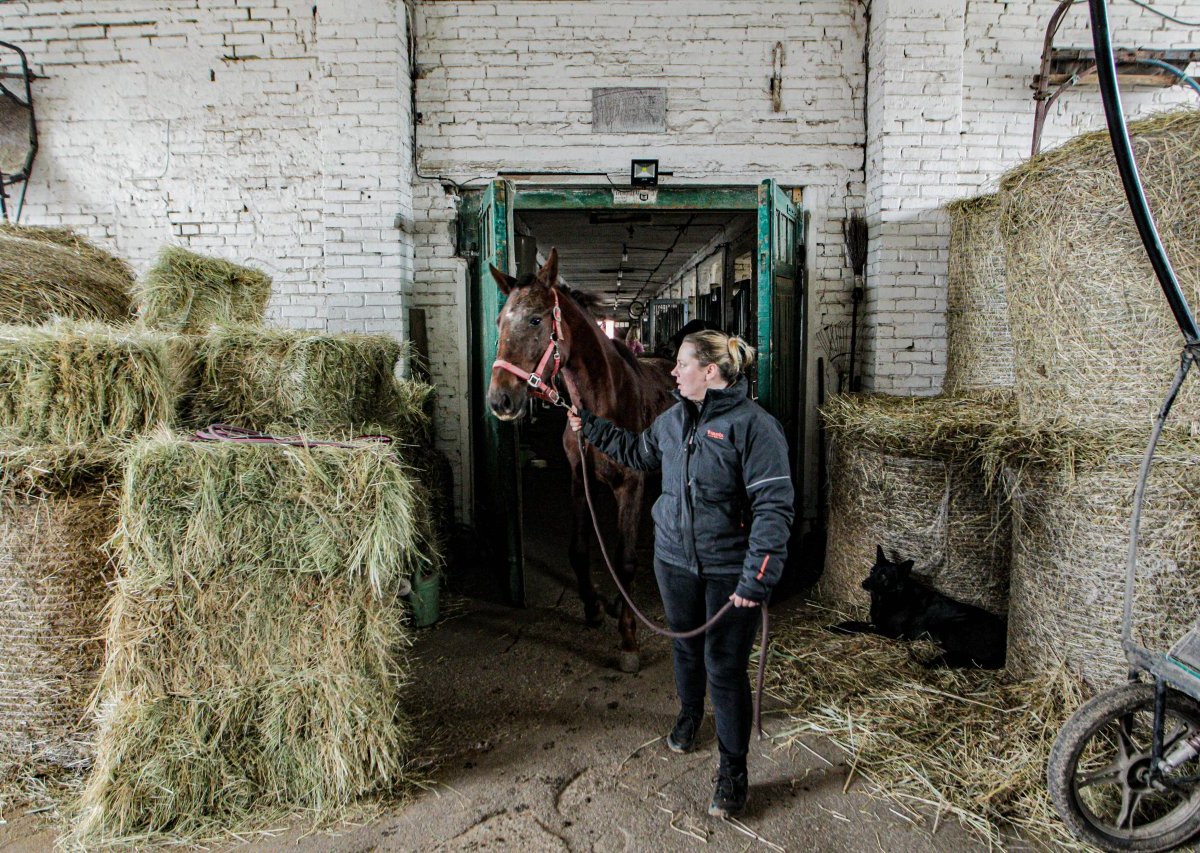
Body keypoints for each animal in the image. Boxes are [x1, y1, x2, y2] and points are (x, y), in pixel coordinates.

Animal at [487, 248, 676, 671]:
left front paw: (628, 639)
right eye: (498, 321)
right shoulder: (578, 481)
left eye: (536, 319)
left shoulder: (631, 485)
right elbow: (578, 551)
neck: (603, 403)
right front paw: (593, 607)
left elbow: (624, 560)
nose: (500, 400)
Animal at [830, 547, 1008, 667]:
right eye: (872, 570)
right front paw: (840, 625)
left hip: (952, 627)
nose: (863, 583)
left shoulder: (892, 632)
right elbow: (858, 623)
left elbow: (862, 627)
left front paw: (839, 628)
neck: (890, 597)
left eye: (884, 576)